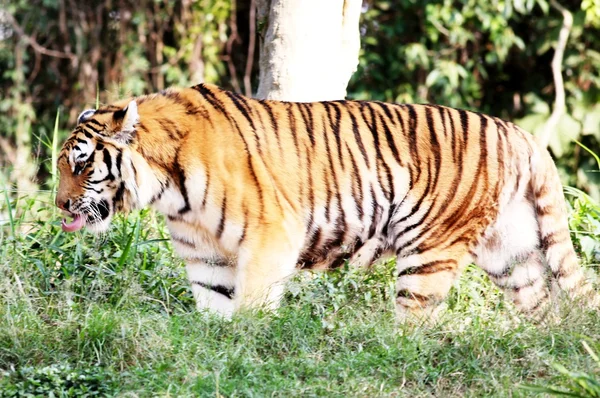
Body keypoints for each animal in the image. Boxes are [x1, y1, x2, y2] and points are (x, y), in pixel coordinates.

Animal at [55, 83, 596, 320]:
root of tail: (519, 133)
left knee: (414, 323)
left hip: (430, 248)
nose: (59, 206)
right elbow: (213, 307)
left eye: (80, 165)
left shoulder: (271, 235)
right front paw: (215, 348)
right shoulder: (206, 254)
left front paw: (245, 350)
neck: (169, 189)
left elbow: (251, 305)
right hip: (511, 250)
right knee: (541, 304)